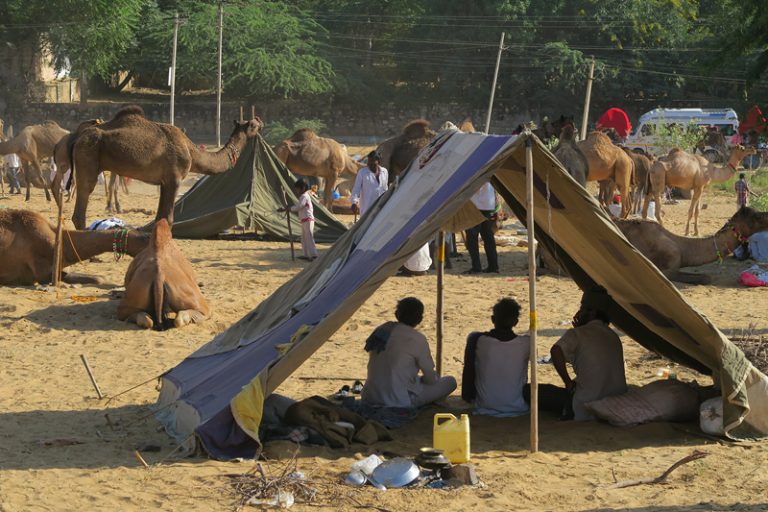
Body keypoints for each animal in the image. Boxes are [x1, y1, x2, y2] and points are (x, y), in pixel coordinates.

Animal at [68, 105, 264, 229]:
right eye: (253, 124)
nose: (260, 121)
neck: (191, 151)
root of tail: (78, 137)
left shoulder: (164, 181)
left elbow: (159, 218)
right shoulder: (174, 178)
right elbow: (168, 219)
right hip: (87, 158)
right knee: (82, 202)